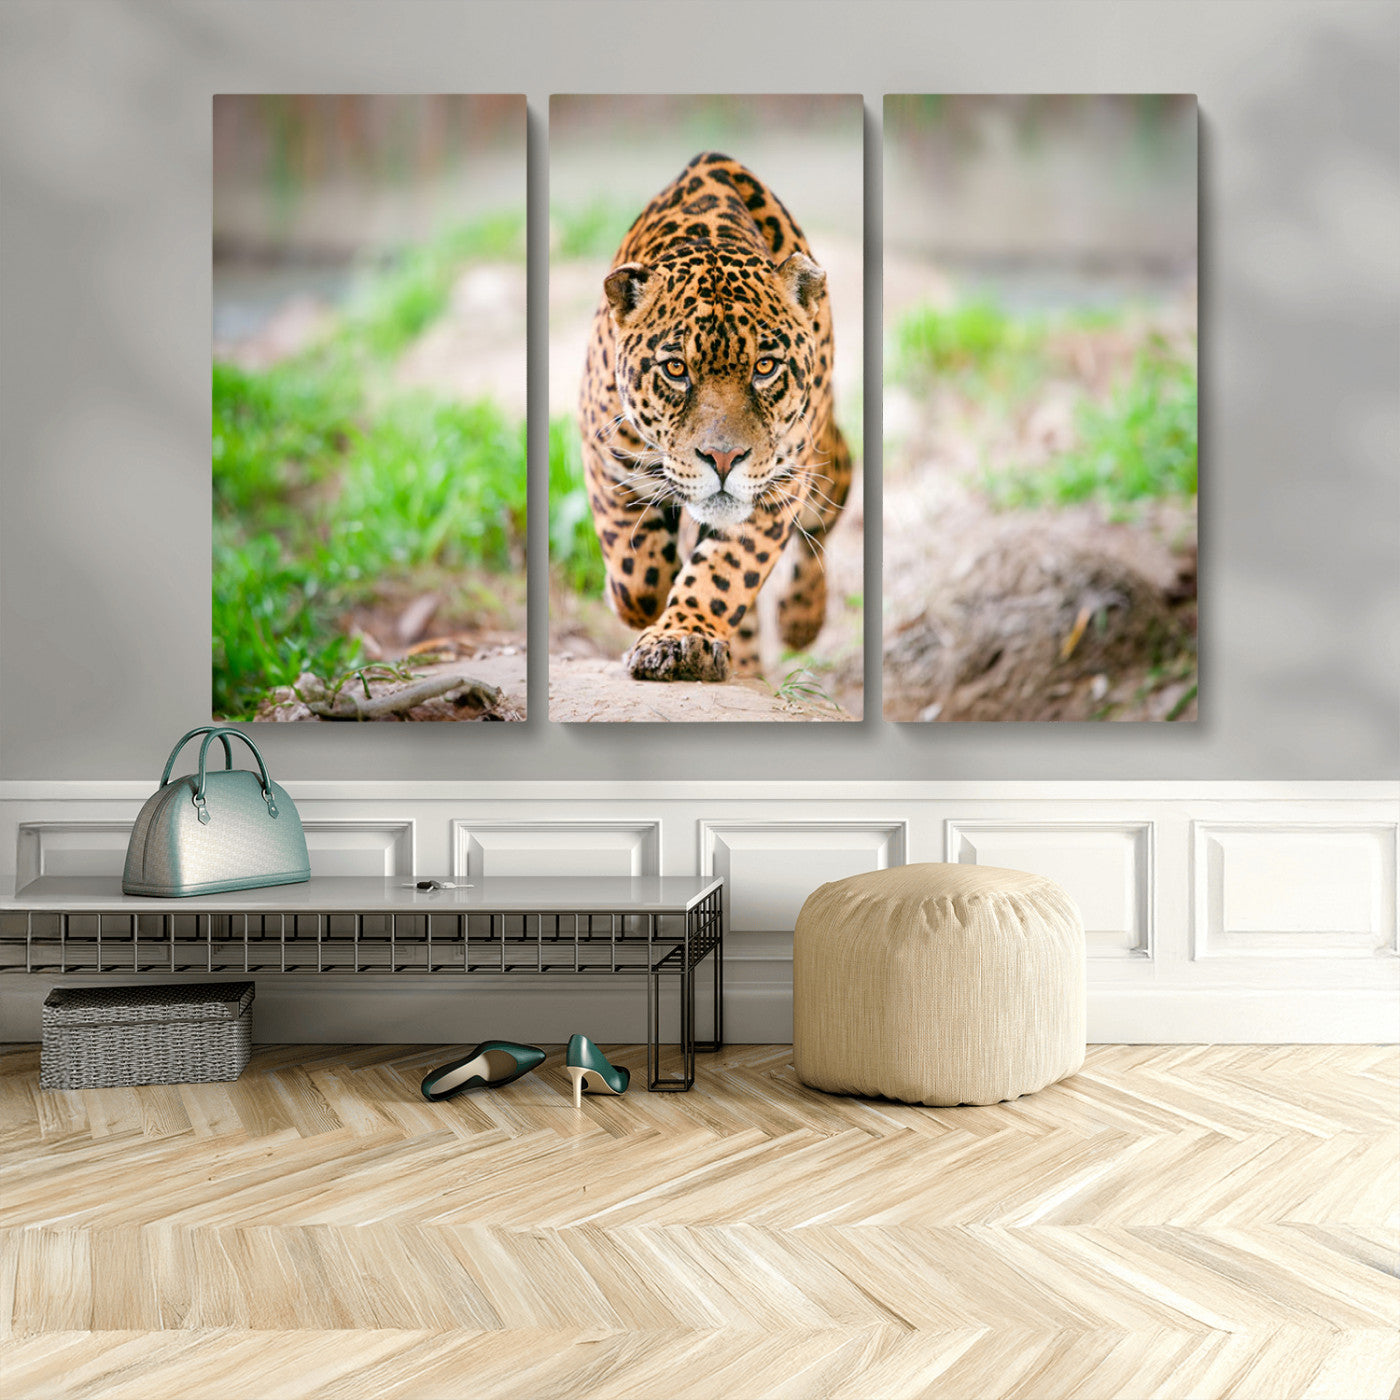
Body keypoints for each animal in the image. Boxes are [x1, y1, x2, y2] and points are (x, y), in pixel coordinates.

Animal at [577, 151, 852, 683]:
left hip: (823, 461)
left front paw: (682, 638)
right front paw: (642, 606)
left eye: (765, 367)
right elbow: (635, 570)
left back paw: (800, 619)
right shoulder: (605, 454)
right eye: (675, 369)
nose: (723, 459)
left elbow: (724, 573)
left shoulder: (778, 485)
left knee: (829, 506)